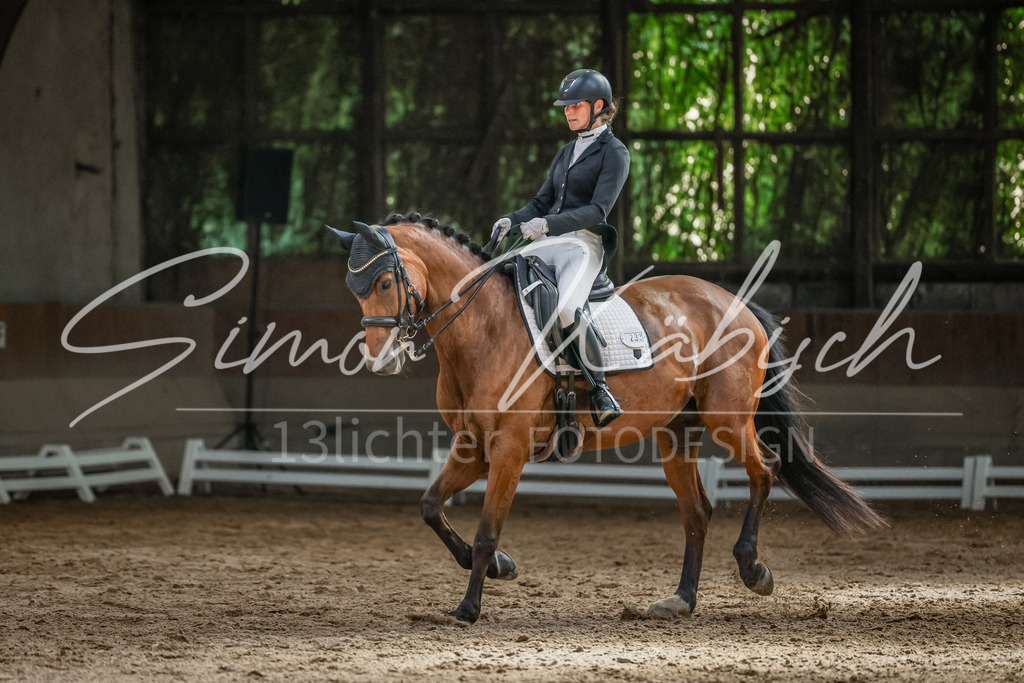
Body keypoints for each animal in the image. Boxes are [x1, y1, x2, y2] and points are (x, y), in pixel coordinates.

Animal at [328, 213, 885, 624]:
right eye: (354, 288)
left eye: (384, 281)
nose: (380, 359)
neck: (484, 329)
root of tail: (738, 303)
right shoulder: (473, 447)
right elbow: (429, 506)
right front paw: (498, 568)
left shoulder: (508, 450)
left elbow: (487, 531)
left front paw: (468, 607)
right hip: (676, 434)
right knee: (697, 512)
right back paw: (680, 601)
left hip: (727, 420)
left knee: (764, 470)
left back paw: (752, 569)